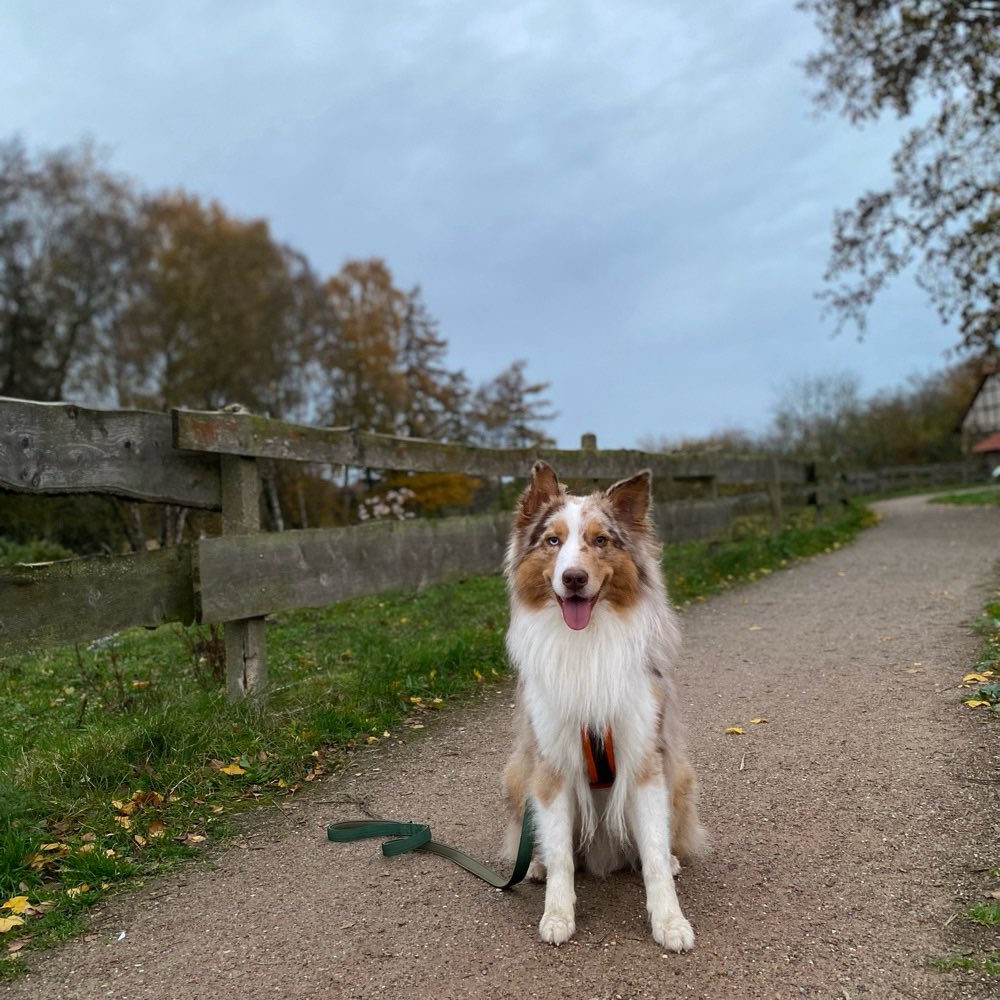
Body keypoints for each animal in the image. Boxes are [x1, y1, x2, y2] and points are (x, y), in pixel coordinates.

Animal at [500, 458, 704, 948]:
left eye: (600, 540)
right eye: (552, 540)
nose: (573, 578)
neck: (586, 642)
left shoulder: (645, 758)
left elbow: (653, 854)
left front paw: (670, 921)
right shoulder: (552, 762)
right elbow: (560, 857)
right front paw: (557, 914)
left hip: (679, 772)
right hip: (517, 775)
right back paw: (534, 864)